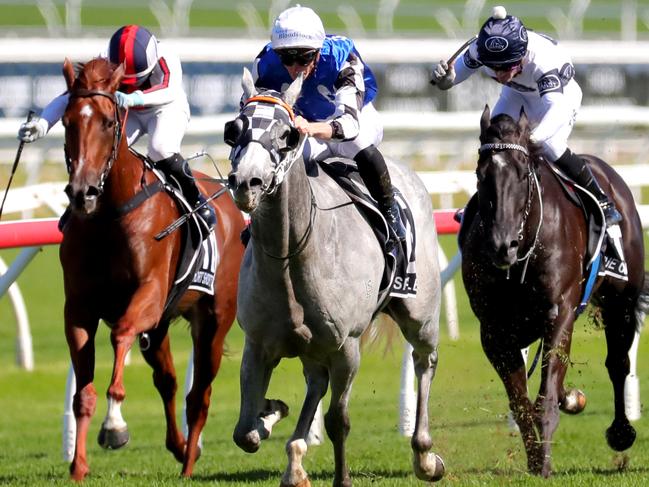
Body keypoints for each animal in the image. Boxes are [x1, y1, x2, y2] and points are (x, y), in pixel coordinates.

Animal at [59, 58, 246, 480]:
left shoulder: (148, 294)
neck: (109, 216)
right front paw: (78, 466)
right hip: (160, 326)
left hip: (215, 318)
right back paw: (179, 447)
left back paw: (189, 463)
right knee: (169, 381)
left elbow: (120, 336)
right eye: (66, 120)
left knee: (199, 395)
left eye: (108, 122)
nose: (82, 192)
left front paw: (114, 426)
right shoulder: (78, 309)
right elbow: (83, 394)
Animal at [227, 67, 446, 487]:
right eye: (235, 128)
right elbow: (245, 431)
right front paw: (270, 413)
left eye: (287, 134)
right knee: (315, 381)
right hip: (313, 346)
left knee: (425, 362)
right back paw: (295, 459)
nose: (247, 183)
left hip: (420, 316)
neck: (291, 256)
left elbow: (337, 420)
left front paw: (341, 477)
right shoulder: (258, 344)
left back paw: (425, 455)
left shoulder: (347, 346)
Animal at [460, 106, 648, 476]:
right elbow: (520, 400)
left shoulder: (559, 313)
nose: (501, 246)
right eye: (480, 174)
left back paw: (621, 431)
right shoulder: (494, 331)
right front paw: (535, 460)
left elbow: (545, 396)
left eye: (522, 174)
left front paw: (545, 462)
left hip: (621, 300)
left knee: (618, 363)